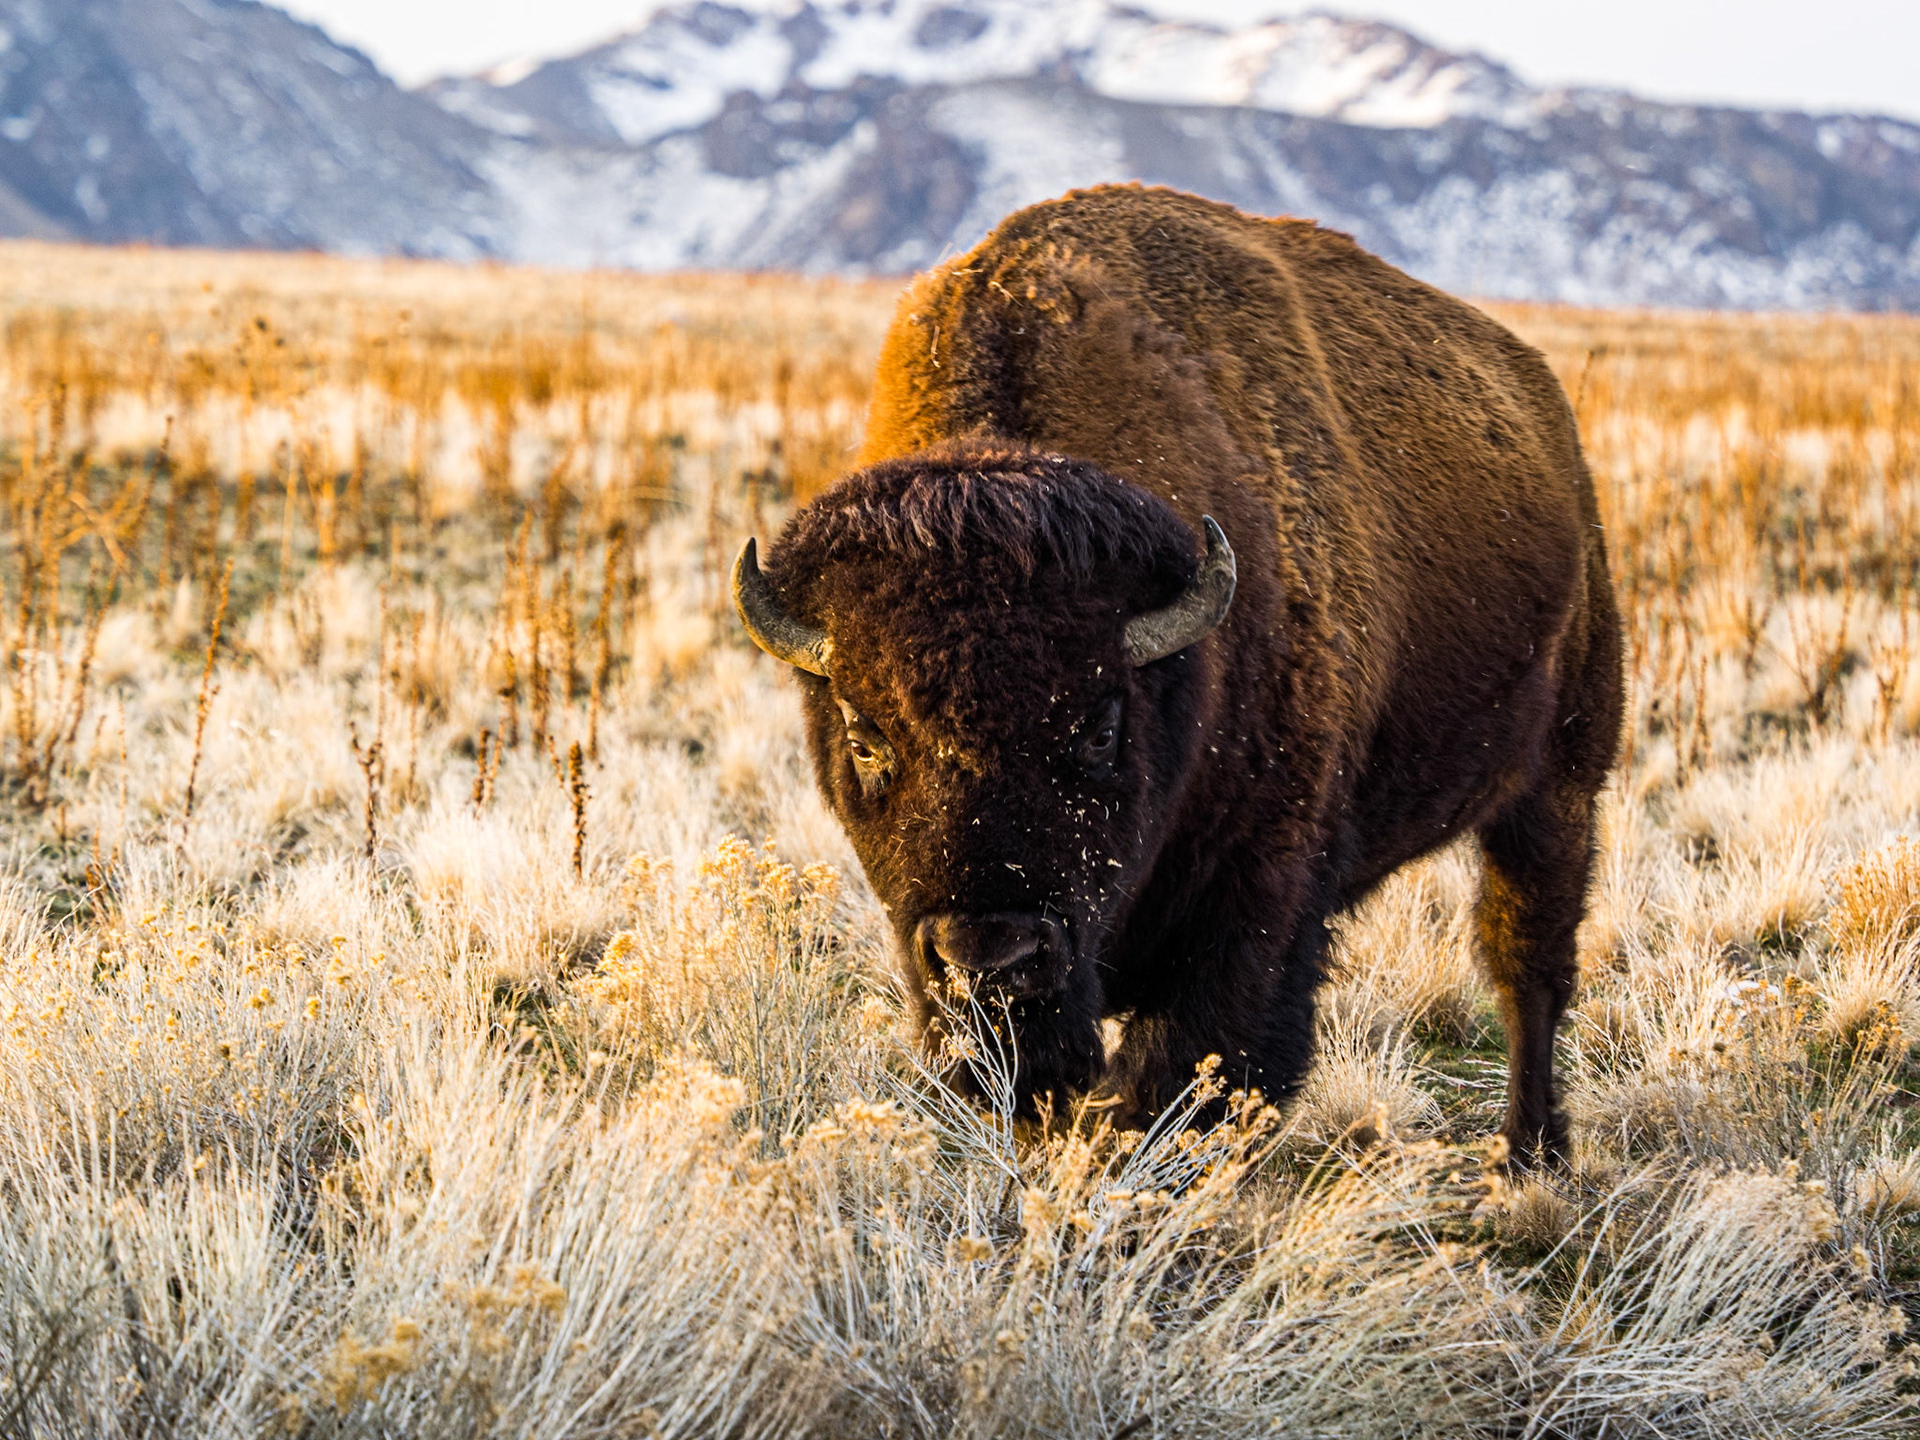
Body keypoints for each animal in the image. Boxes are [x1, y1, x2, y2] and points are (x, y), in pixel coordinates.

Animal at [734, 186, 1622, 1165]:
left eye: (1098, 727)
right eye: (865, 735)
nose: (991, 961)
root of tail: (1547, 414)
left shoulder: (1255, 900)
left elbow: (1183, 1076)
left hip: (1558, 784)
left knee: (1528, 964)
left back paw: (1530, 1154)